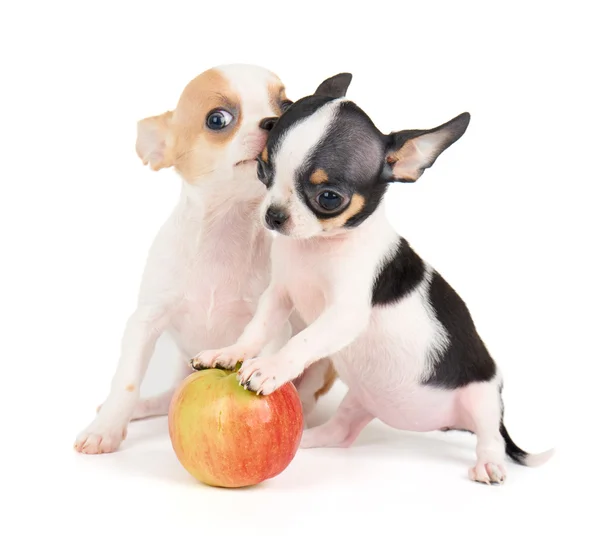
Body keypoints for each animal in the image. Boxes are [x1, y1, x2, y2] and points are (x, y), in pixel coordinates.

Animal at [74, 64, 336, 456]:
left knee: (305, 391)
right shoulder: (145, 322)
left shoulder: (272, 328)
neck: (223, 234)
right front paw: (105, 429)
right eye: (217, 119)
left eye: (287, 105)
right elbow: (127, 381)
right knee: (168, 392)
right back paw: (143, 407)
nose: (274, 121)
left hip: (320, 368)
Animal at [192, 75, 552, 486]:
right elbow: (255, 330)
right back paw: (307, 438)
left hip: (483, 397)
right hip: (361, 400)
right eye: (262, 170)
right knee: (342, 433)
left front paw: (271, 368)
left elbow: (303, 340)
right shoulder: (279, 295)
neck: (317, 247)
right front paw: (228, 353)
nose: (274, 215)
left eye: (329, 197)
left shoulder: (344, 314)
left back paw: (489, 464)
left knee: (490, 436)